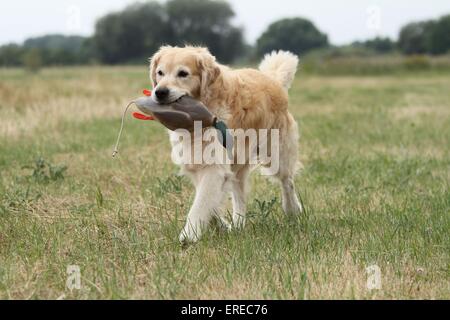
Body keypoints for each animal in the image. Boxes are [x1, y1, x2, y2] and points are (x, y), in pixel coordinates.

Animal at [149, 45, 302, 242]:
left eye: (183, 73)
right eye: (160, 73)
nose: (160, 92)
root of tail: (273, 80)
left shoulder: (214, 167)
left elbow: (200, 203)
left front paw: (188, 235)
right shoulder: (198, 163)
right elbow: (209, 201)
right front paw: (221, 225)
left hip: (276, 154)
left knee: (287, 181)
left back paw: (293, 210)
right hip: (238, 165)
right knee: (240, 196)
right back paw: (238, 226)